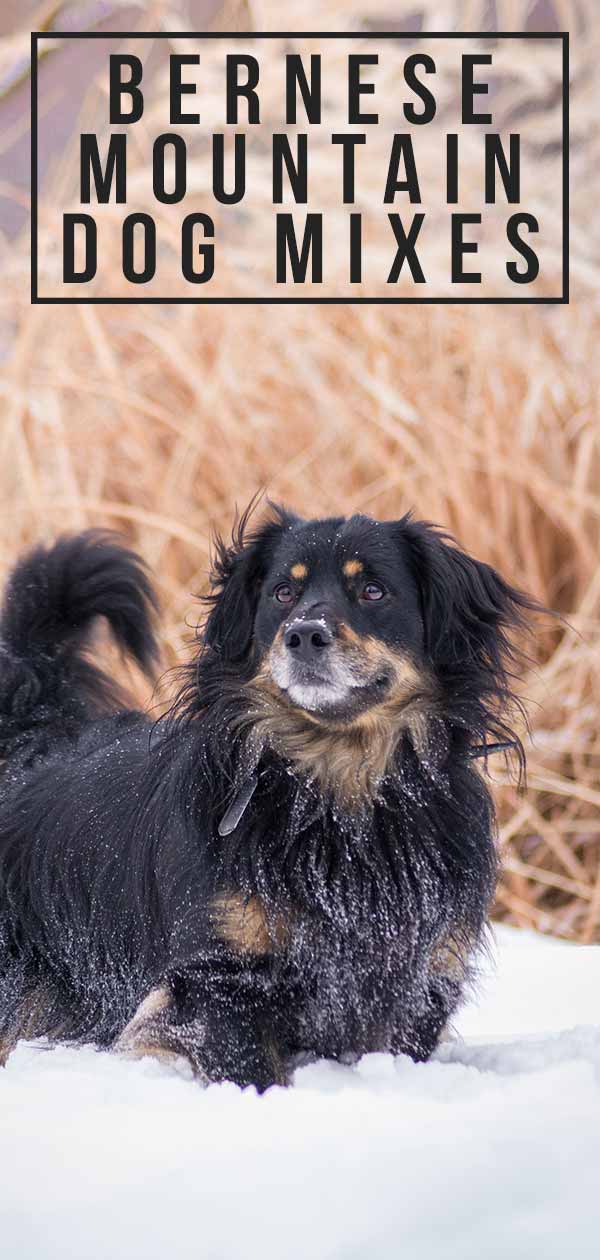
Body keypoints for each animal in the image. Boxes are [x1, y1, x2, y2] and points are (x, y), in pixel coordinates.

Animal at [0, 506, 536, 1088]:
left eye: (373, 590)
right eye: (283, 592)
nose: (304, 634)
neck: (335, 787)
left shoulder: (420, 980)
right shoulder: (222, 981)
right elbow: (252, 1071)